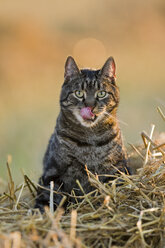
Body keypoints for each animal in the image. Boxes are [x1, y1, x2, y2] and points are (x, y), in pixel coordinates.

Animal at [34, 56, 130, 213]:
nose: (90, 106)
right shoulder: (53, 172)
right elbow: (49, 198)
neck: (90, 139)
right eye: (79, 93)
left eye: (101, 93)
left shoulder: (117, 169)